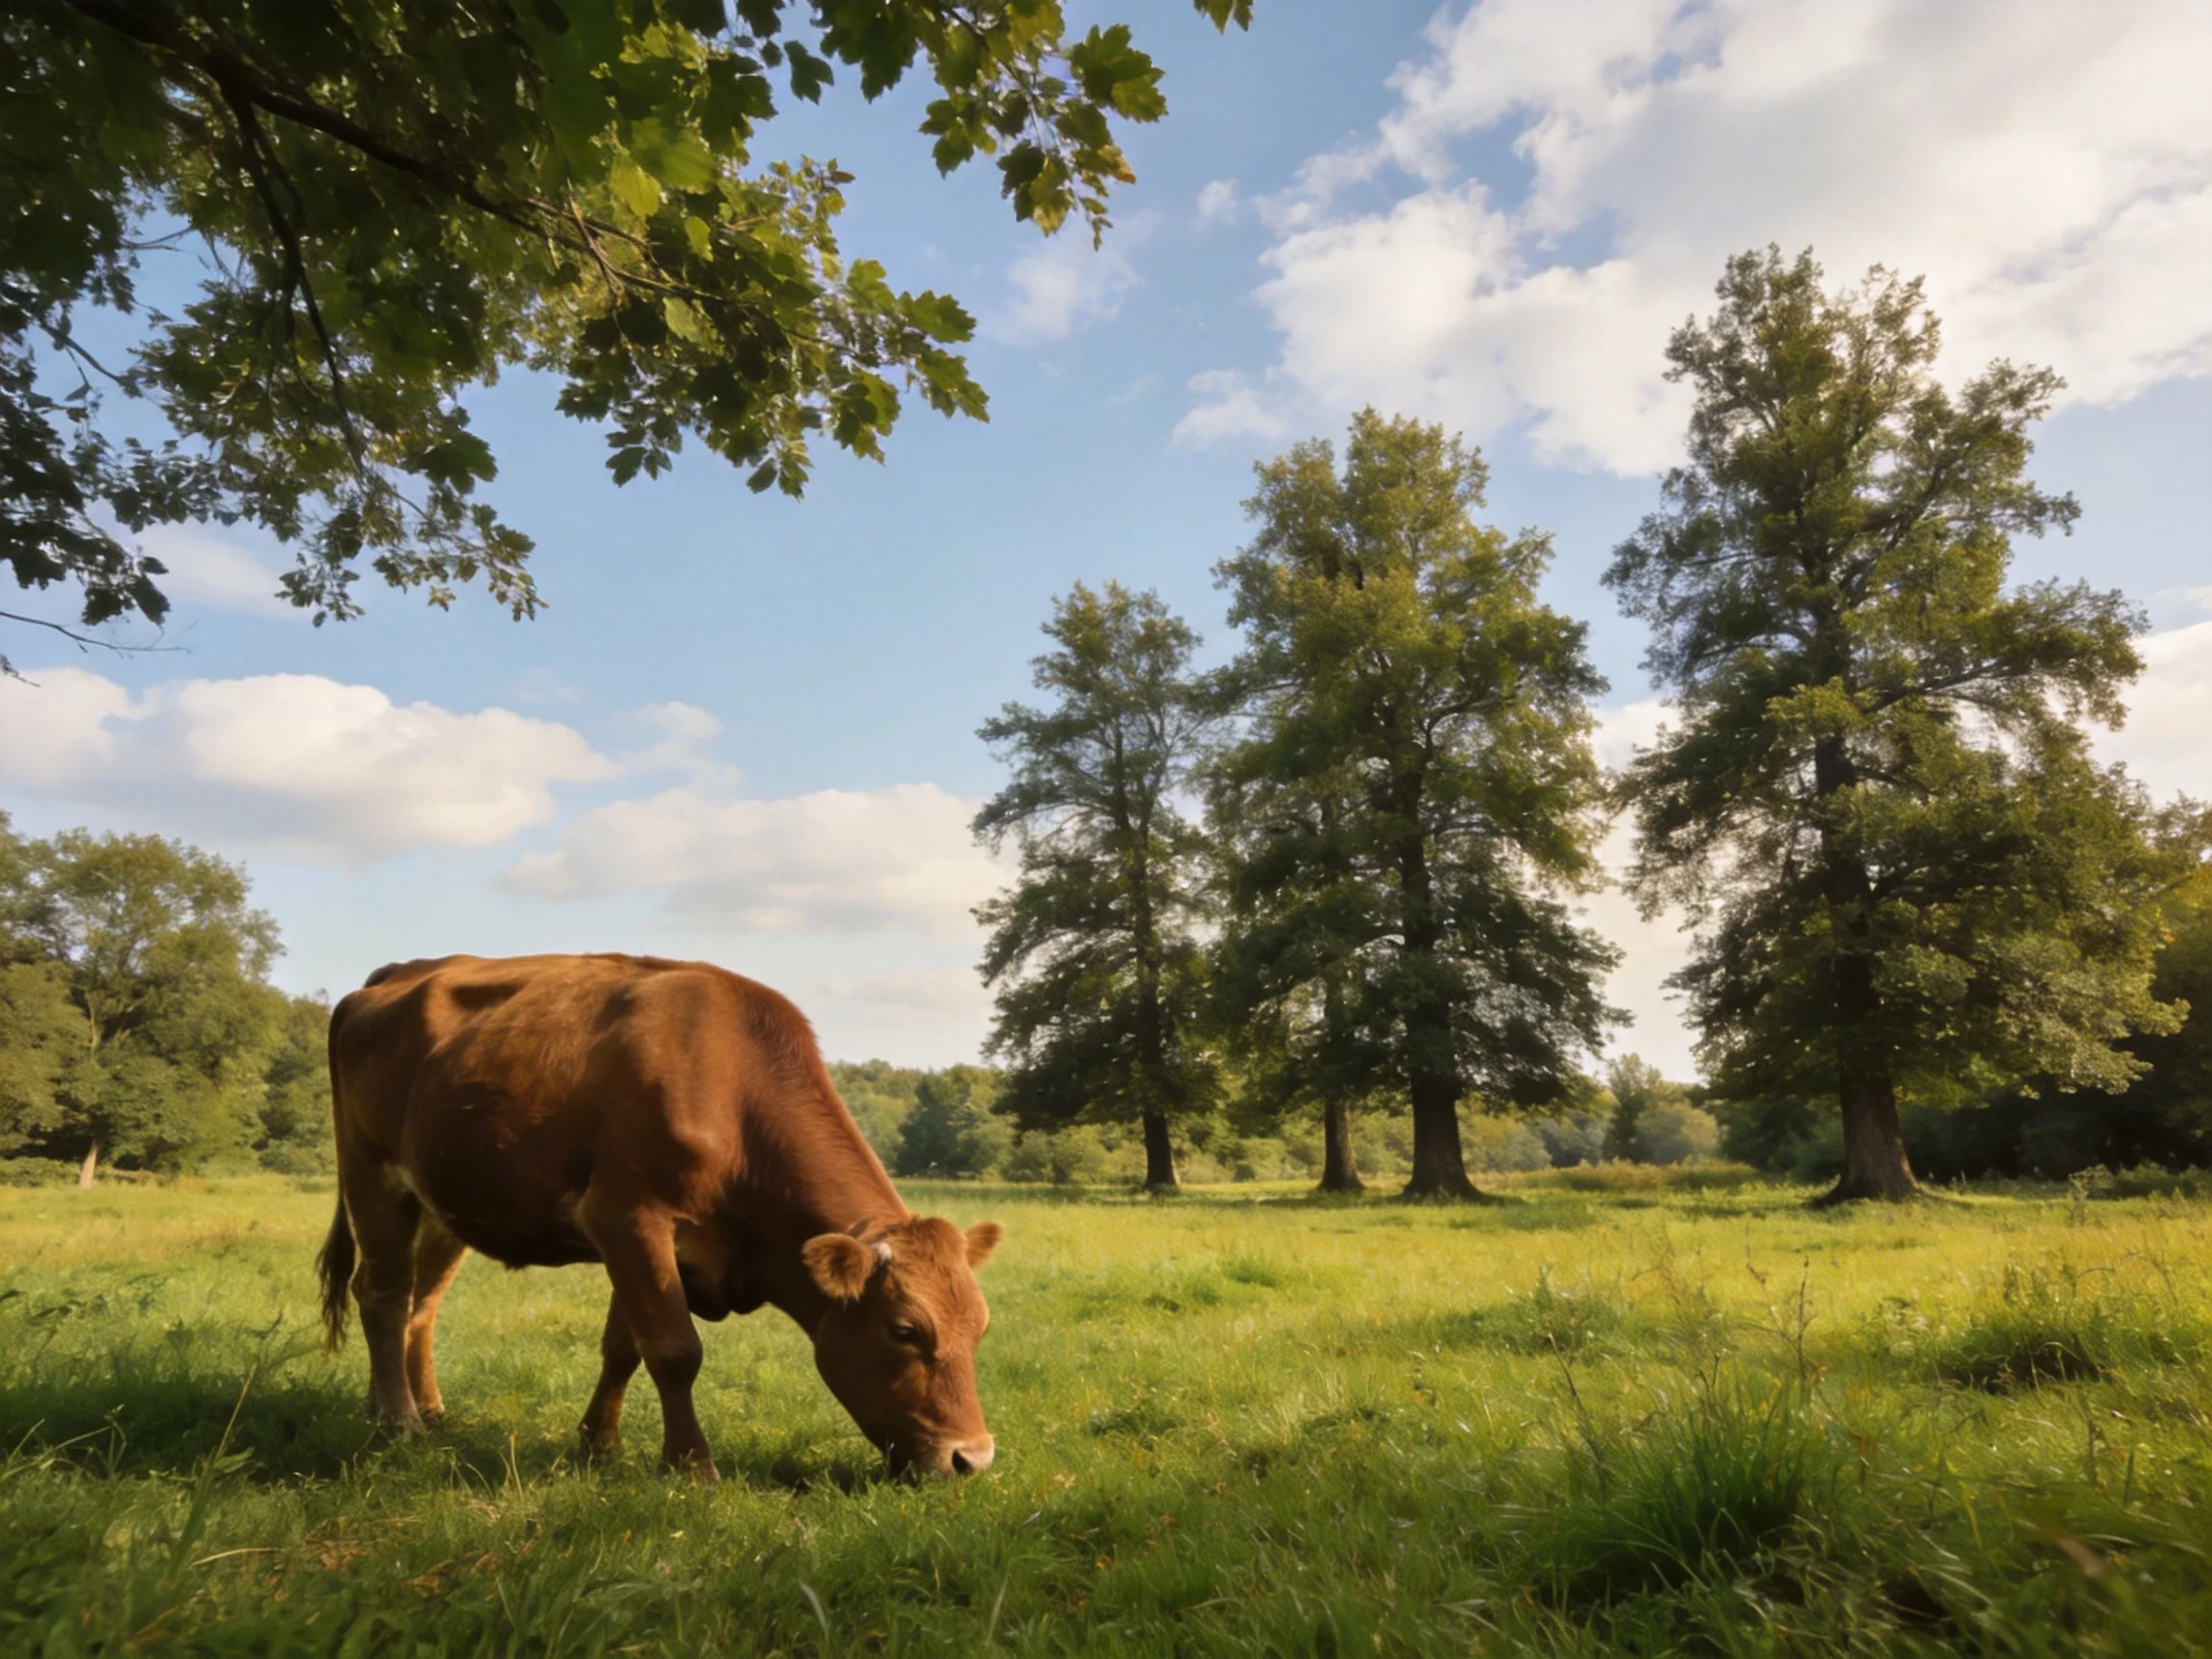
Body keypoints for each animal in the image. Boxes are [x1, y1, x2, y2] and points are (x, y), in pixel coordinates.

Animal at [315, 952, 1002, 1480]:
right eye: (905, 1330)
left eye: (981, 1327)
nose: (973, 1459)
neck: (733, 1098)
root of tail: (398, 973)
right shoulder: (628, 1217)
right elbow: (674, 1350)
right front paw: (691, 1467)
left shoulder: (649, 1243)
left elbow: (623, 1347)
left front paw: (599, 1443)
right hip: (372, 1176)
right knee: (382, 1294)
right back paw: (400, 1424)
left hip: (443, 1201)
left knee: (420, 1303)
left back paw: (415, 1408)